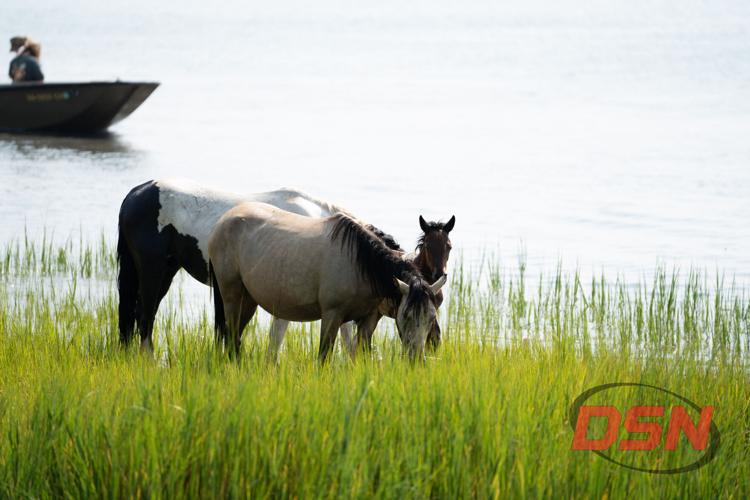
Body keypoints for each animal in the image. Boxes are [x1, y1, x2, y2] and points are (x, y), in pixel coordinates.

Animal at [208, 202, 447, 362]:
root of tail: (223, 220)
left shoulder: (367, 320)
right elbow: (323, 358)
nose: (417, 360)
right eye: (406, 316)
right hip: (232, 295)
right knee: (231, 337)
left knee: (235, 337)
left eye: (431, 317)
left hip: (248, 300)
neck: (360, 262)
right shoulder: (332, 315)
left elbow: (359, 356)